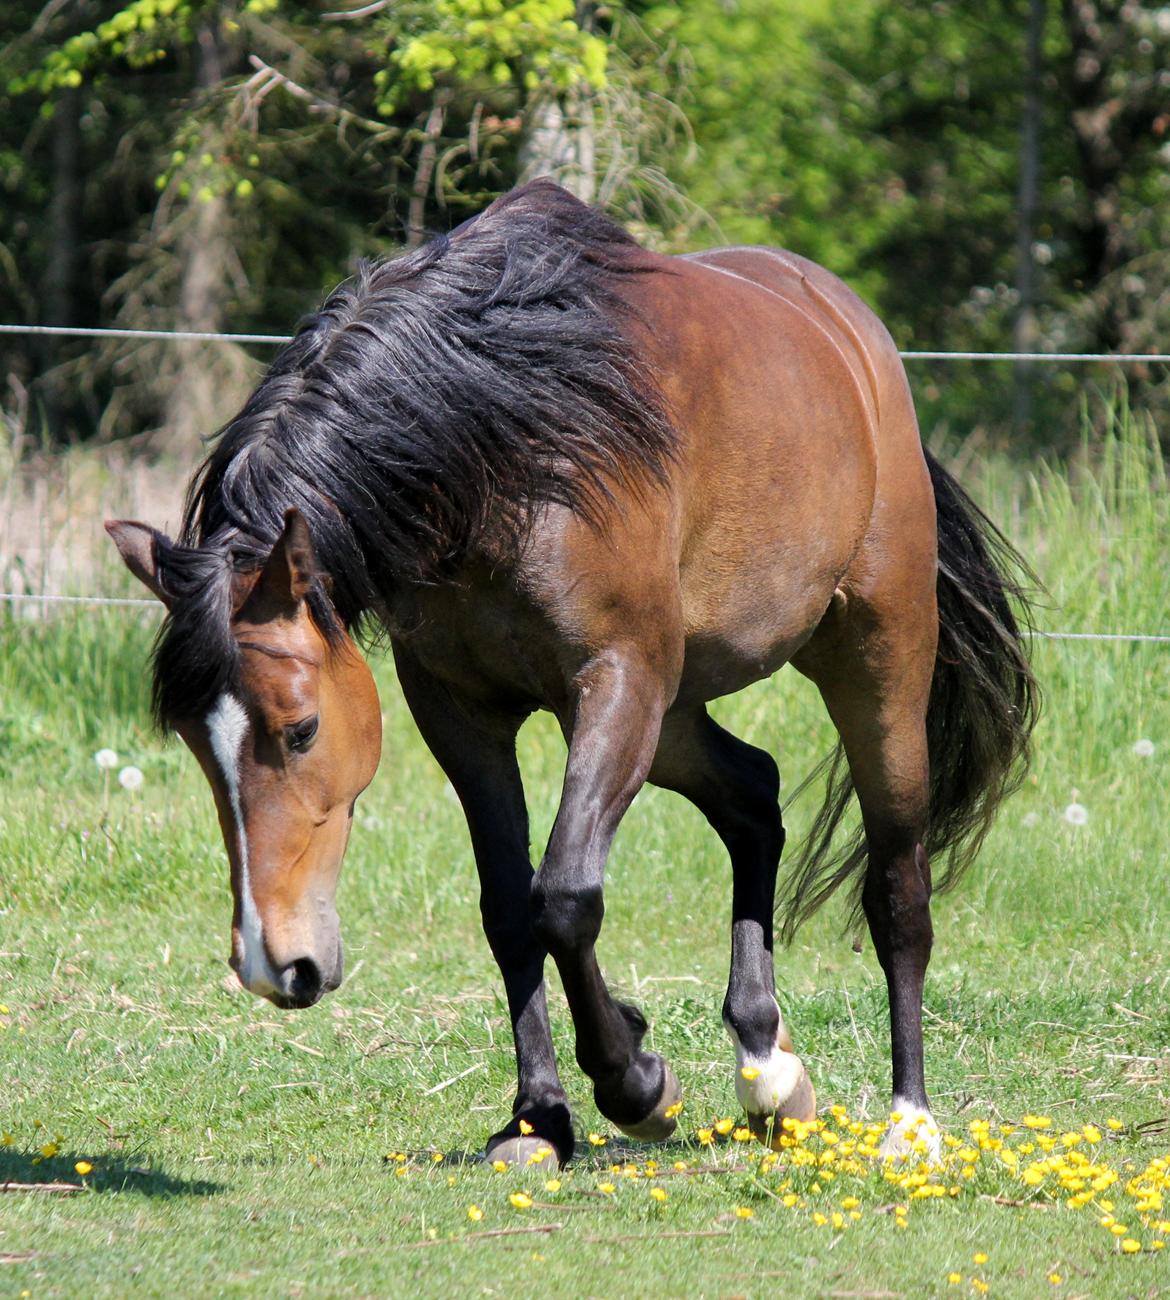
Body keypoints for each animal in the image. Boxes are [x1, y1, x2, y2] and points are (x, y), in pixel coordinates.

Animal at [109, 180, 1040, 1170]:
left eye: (302, 730)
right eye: (197, 748)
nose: (272, 965)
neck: (502, 447)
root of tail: (857, 341)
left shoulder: (613, 681)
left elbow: (562, 898)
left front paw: (637, 1083)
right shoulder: (462, 713)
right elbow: (507, 910)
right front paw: (539, 1118)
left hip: (871, 661)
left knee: (898, 884)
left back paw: (910, 1122)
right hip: (675, 713)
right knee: (754, 796)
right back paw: (768, 1069)